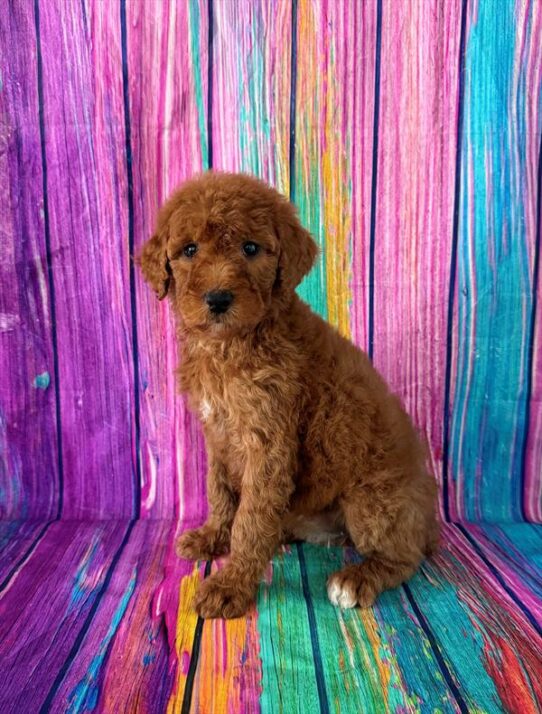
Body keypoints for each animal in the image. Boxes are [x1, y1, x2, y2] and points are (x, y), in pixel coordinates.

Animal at [139, 171, 438, 616]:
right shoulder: (218, 435)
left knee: (404, 555)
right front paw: (213, 536)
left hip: (374, 500)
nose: (218, 299)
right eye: (189, 250)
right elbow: (221, 491)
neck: (228, 346)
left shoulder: (269, 441)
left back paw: (356, 579)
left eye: (250, 248)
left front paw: (231, 584)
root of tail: (428, 522)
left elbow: (250, 518)